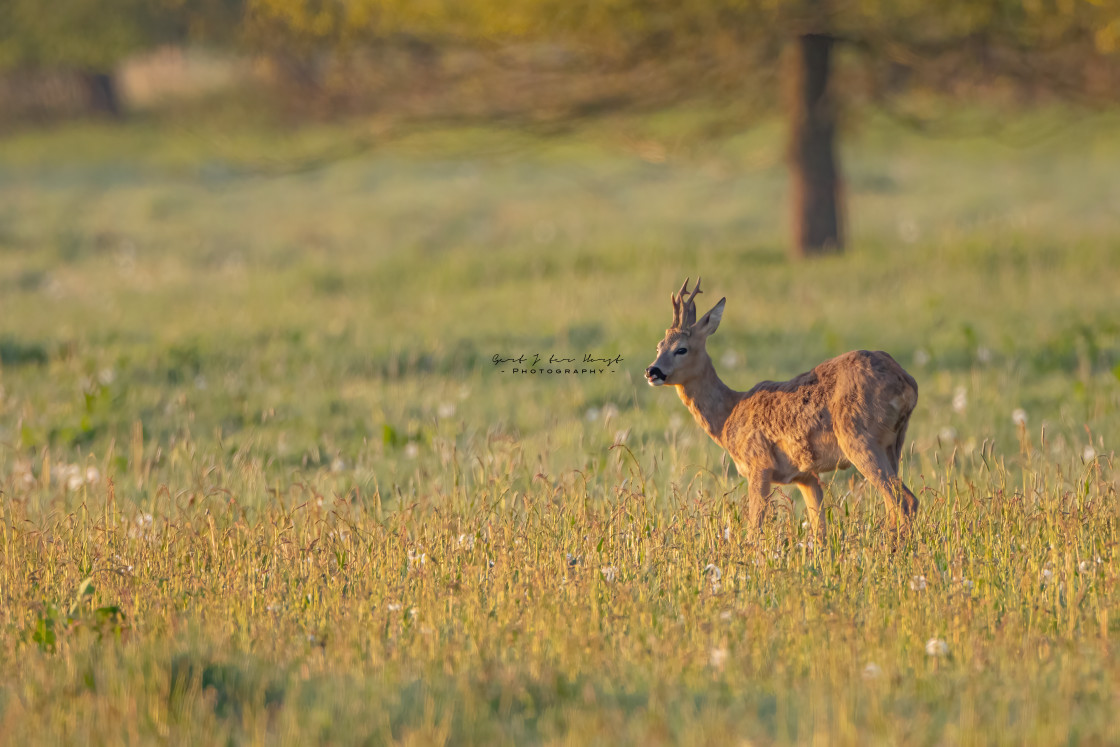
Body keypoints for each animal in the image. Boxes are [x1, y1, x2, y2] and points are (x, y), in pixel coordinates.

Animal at [649, 278, 918, 537]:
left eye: (681, 348)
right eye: (659, 346)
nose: (652, 371)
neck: (728, 415)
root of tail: (907, 382)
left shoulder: (759, 464)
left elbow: (754, 527)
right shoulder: (805, 475)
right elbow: (819, 529)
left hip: (860, 439)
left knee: (905, 500)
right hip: (893, 444)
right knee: (895, 504)